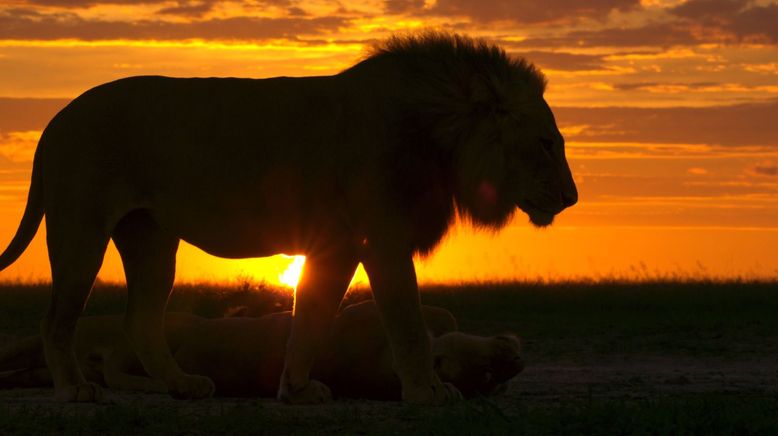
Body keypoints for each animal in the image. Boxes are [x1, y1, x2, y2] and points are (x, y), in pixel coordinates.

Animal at [0, 33, 568, 406]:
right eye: (546, 143)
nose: (572, 197)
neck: (439, 137)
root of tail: (55, 120)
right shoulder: (382, 237)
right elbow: (405, 317)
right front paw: (428, 390)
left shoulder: (338, 245)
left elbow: (311, 317)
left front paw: (295, 388)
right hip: (81, 230)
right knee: (57, 320)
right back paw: (74, 389)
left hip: (151, 238)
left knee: (140, 320)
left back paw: (182, 384)